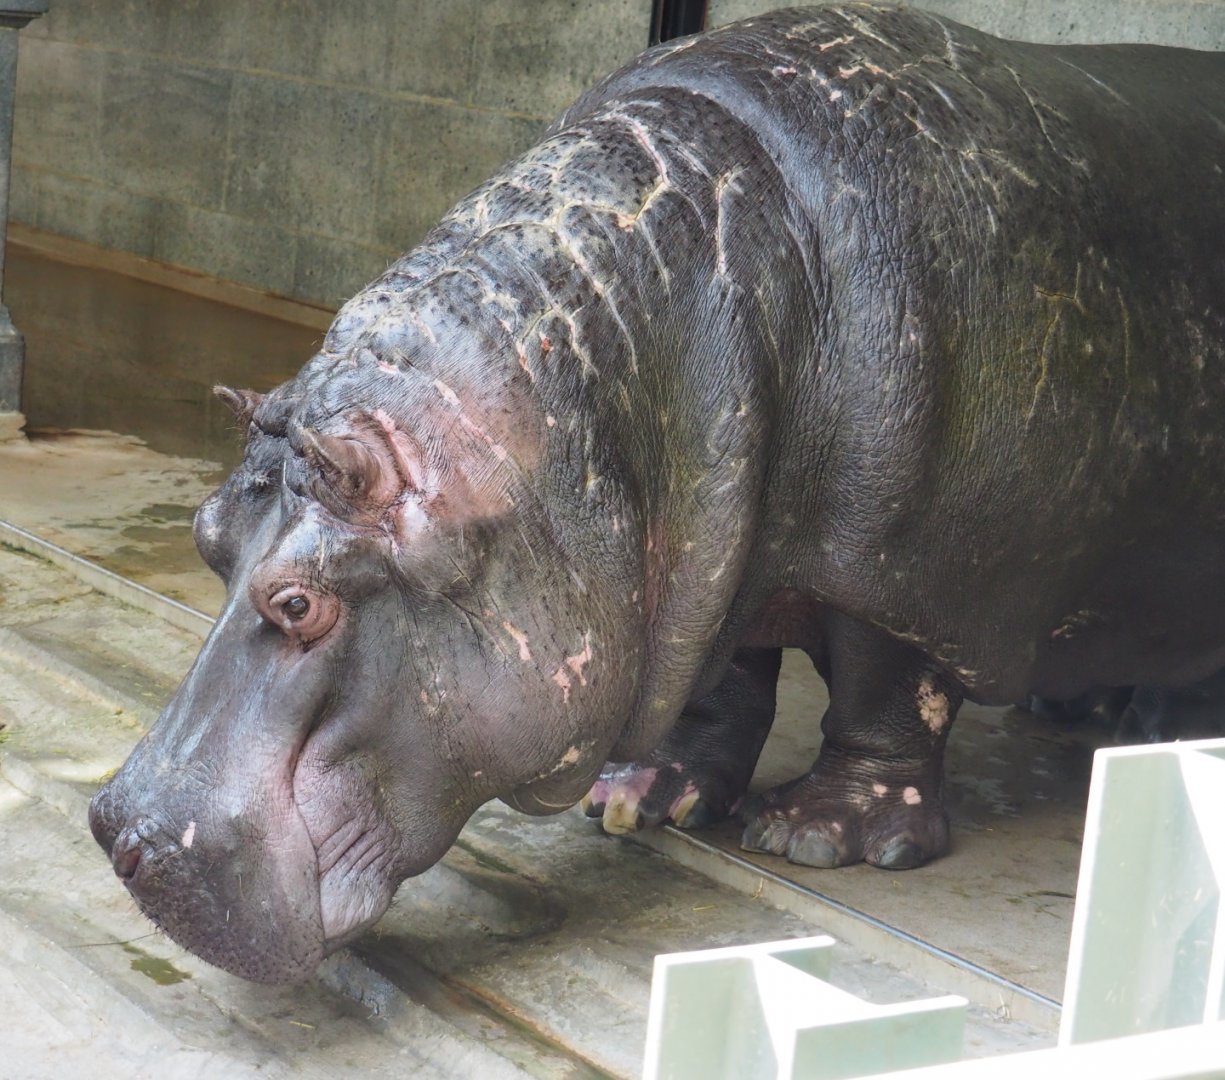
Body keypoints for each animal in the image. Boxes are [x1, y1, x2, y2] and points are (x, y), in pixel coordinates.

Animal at [90, 2, 1225, 983]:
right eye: (206, 533)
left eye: (297, 602)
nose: (116, 835)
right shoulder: (707, 536)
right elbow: (719, 673)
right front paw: (636, 801)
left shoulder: (905, 562)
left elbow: (885, 685)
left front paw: (817, 836)